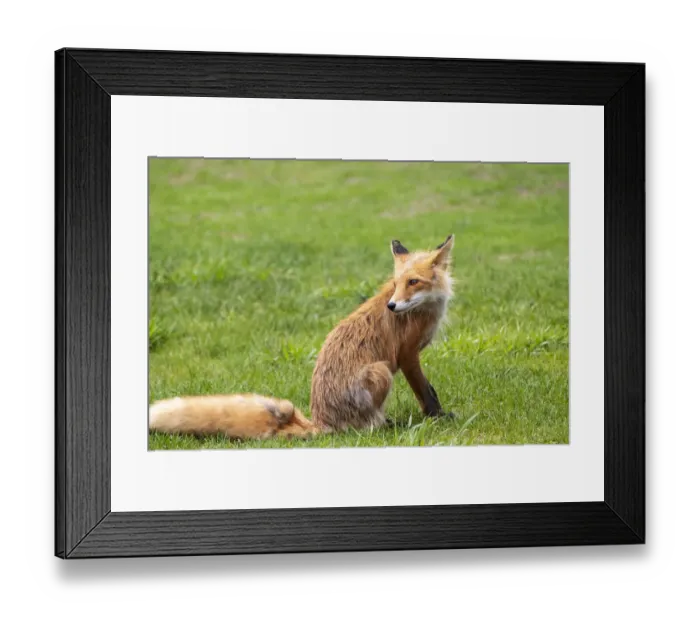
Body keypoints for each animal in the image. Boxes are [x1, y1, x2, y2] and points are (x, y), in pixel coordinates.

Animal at [148, 234, 455, 440]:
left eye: (412, 282)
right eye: (395, 284)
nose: (392, 306)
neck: (427, 308)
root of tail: (320, 422)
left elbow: (430, 389)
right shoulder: (406, 355)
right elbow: (426, 392)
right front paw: (438, 418)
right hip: (380, 372)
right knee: (365, 428)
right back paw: (389, 425)